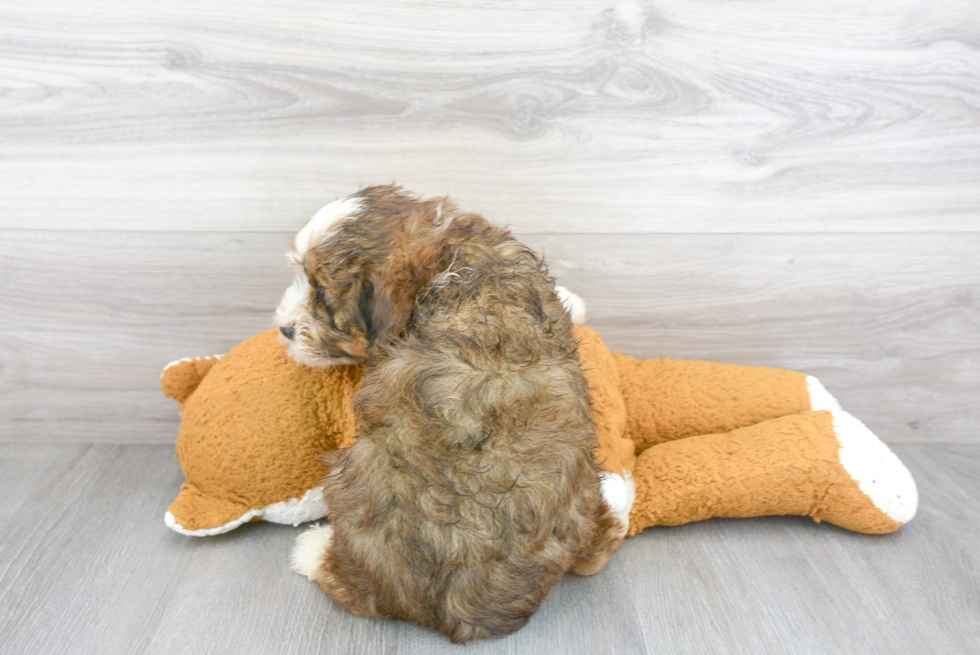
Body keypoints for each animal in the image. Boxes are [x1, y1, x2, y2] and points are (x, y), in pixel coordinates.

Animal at [280, 187, 624, 644]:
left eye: (321, 296)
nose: (284, 329)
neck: (450, 254)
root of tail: (461, 608)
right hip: (582, 494)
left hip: (349, 477)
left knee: (354, 588)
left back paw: (311, 550)